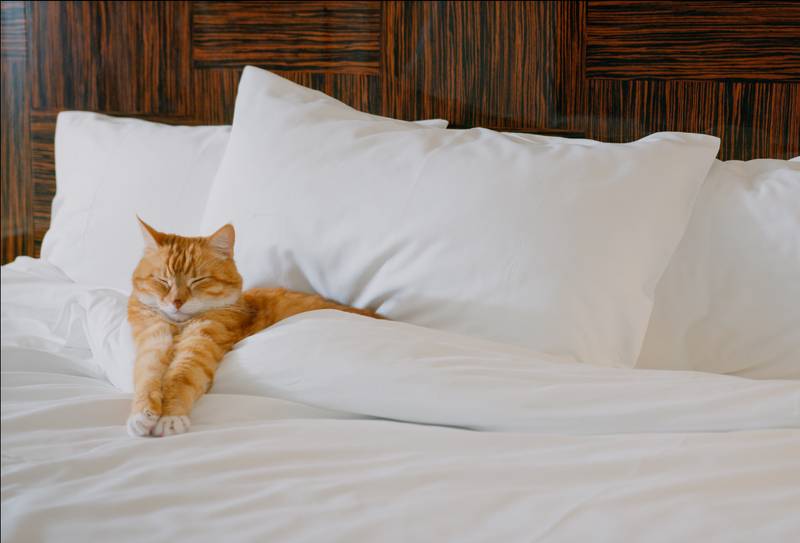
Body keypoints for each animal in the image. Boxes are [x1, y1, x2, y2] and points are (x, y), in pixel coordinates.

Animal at [128, 217, 378, 438]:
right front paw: (141, 415)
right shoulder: (152, 340)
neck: (179, 326)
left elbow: (182, 376)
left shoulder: (203, 342)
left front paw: (171, 417)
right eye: (162, 281)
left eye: (198, 281)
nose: (176, 302)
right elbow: (146, 375)